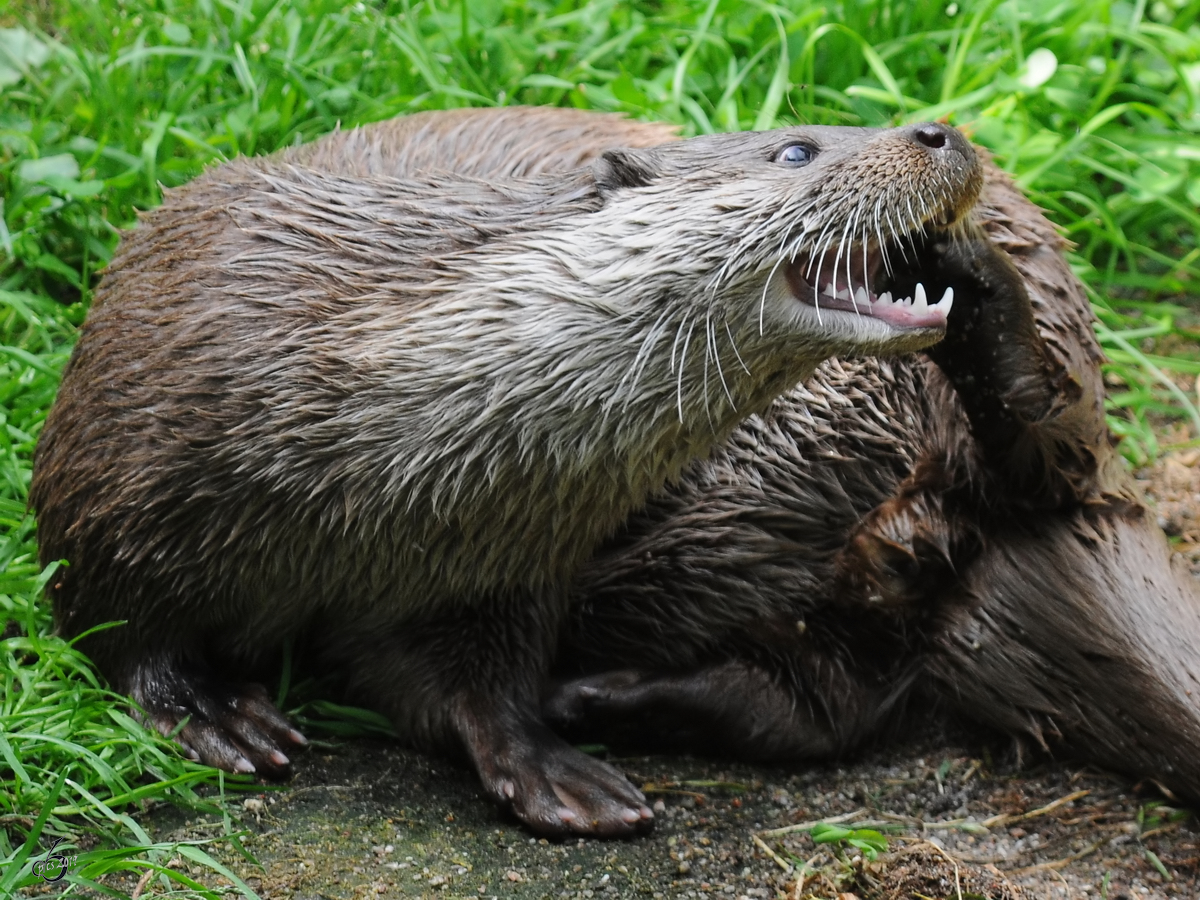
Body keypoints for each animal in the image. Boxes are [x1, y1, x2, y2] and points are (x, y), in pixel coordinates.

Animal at [30, 105, 984, 840]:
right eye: (796, 150)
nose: (940, 131)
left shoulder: (498, 564)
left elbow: (474, 685)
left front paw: (553, 770)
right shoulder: (120, 470)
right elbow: (113, 619)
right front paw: (207, 709)